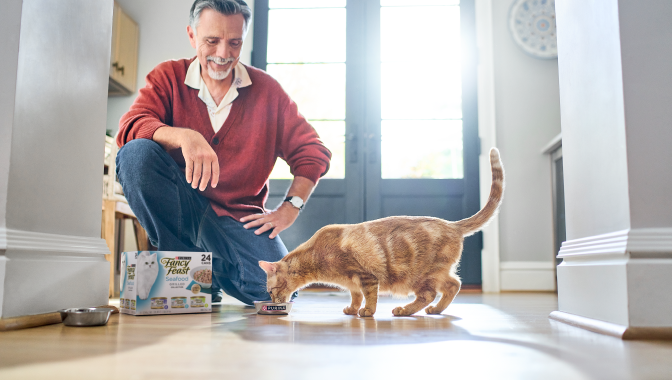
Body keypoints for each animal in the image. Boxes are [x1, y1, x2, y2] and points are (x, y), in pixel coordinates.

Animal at [258, 147, 504, 316]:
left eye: (271, 290)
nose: (274, 300)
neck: (317, 256)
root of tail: (452, 224)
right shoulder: (353, 284)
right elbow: (356, 297)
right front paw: (352, 310)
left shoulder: (366, 276)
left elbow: (370, 297)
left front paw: (367, 312)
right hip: (437, 273)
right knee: (453, 285)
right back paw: (435, 310)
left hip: (422, 276)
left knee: (431, 293)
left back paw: (405, 310)